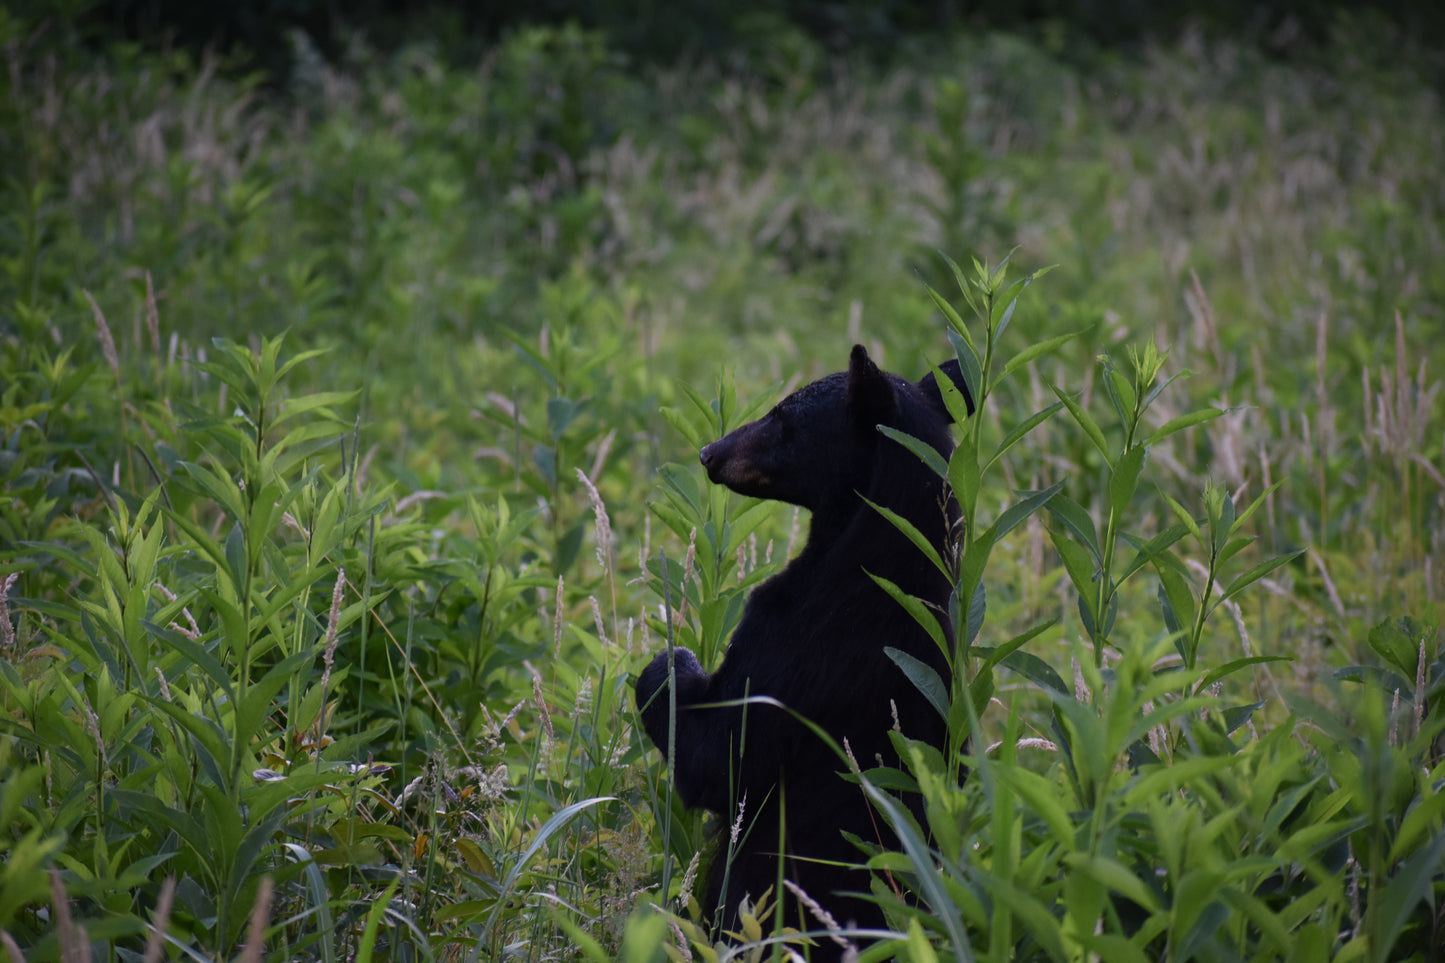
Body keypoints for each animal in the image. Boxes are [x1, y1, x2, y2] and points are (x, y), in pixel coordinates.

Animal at [635, 342, 965, 954]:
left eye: (782, 418)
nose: (708, 452)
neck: (878, 574)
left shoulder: (784, 649)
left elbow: (716, 754)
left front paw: (672, 664)